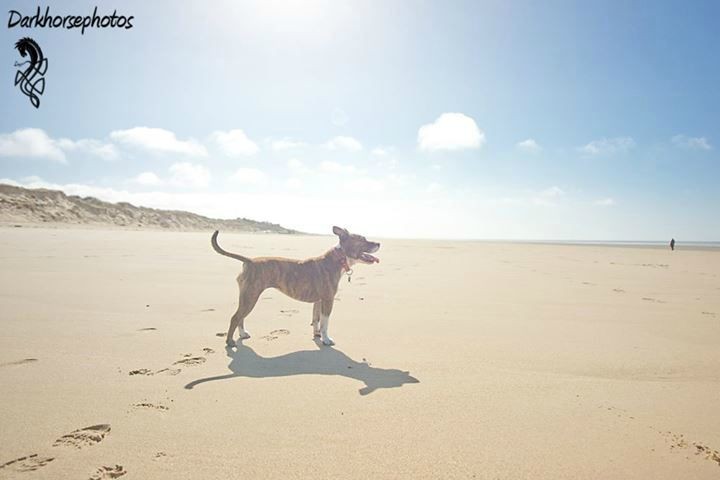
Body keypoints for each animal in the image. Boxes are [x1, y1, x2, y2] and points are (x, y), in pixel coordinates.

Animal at [211, 227, 380, 346]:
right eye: (363, 239)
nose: (379, 243)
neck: (339, 259)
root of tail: (249, 261)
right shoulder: (328, 300)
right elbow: (325, 322)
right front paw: (326, 339)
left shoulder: (318, 301)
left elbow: (316, 319)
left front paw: (317, 335)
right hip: (250, 297)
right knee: (235, 317)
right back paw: (230, 342)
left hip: (247, 298)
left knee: (241, 317)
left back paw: (243, 334)